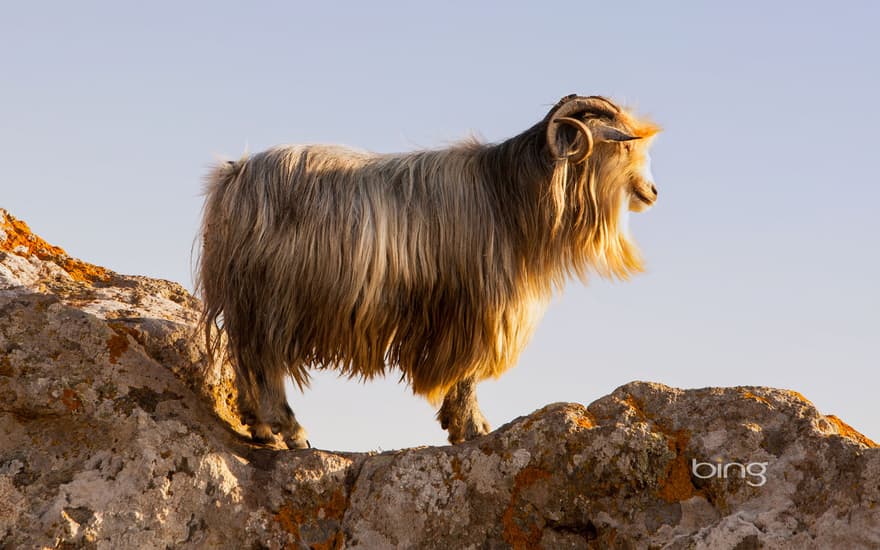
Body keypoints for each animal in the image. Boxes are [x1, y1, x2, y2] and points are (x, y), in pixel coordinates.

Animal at [196, 95, 656, 448]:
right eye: (623, 147)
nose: (652, 192)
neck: (508, 196)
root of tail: (233, 177)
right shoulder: (474, 311)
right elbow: (467, 376)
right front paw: (473, 428)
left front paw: (457, 425)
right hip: (274, 300)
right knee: (265, 365)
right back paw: (291, 432)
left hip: (251, 302)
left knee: (245, 359)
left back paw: (259, 427)